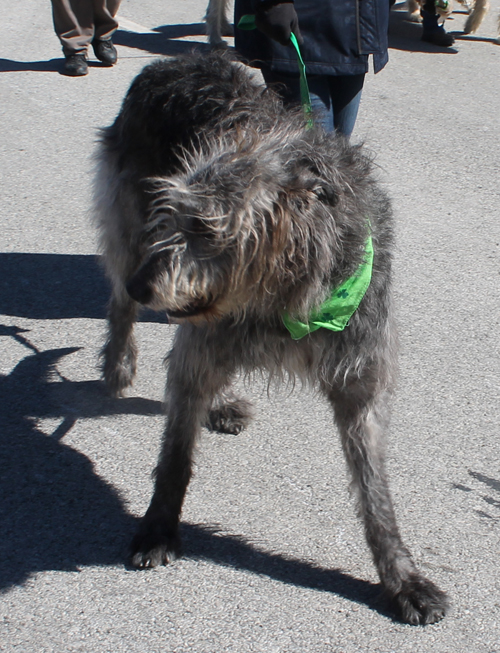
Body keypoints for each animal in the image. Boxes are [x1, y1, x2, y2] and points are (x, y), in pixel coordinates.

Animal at [93, 52, 450, 628]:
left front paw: (401, 577)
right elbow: (175, 454)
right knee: (122, 307)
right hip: (129, 219)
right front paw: (158, 528)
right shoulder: (204, 335)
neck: (291, 301)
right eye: (175, 216)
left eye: (208, 229)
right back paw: (119, 364)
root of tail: (178, 58)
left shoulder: (360, 376)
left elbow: (375, 492)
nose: (144, 284)